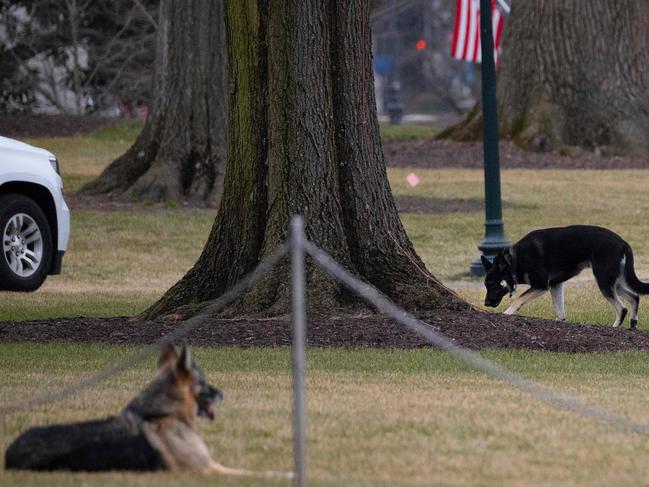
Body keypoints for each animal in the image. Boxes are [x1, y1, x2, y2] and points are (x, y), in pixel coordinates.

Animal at [480, 227, 648, 330]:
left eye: (492, 284)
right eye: (486, 285)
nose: (486, 303)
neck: (515, 261)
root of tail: (624, 244)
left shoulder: (542, 285)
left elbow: (518, 299)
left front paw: (507, 313)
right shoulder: (555, 285)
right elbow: (560, 313)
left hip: (604, 281)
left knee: (622, 308)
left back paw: (614, 327)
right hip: (613, 282)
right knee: (634, 297)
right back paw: (633, 324)